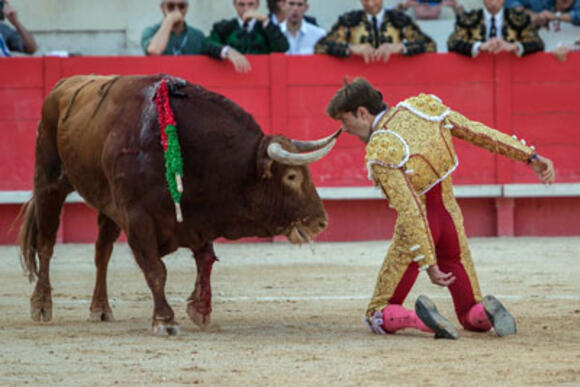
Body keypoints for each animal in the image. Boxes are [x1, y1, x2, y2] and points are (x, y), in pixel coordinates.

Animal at [18, 75, 338, 336]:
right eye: (292, 176)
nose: (321, 221)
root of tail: (60, 87)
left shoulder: (199, 216)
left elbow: (205, 260)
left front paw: (200, 310)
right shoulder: (137, 218)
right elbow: (156, 269)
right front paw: (165, 320)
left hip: (107, 205)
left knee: (102, 253)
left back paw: (100, 309)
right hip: (49, 181)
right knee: (46, 244)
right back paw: (41, 305)